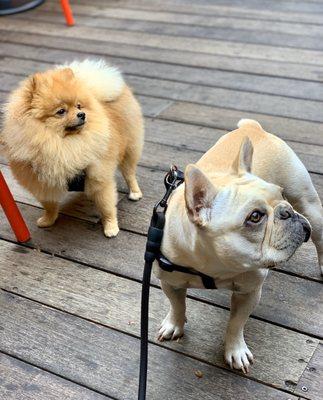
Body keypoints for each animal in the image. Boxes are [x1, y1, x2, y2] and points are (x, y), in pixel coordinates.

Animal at [0, 59, 143, 238]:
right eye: (61, 111)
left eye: (79, 106)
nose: (82, 114)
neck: (62, 144)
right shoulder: (42, 183)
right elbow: (49, 205)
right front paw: (48, 219)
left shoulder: (99, 177)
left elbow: (107, 206)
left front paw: (111, 227)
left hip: (130, 148)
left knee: (129, 173)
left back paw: (135, 193)